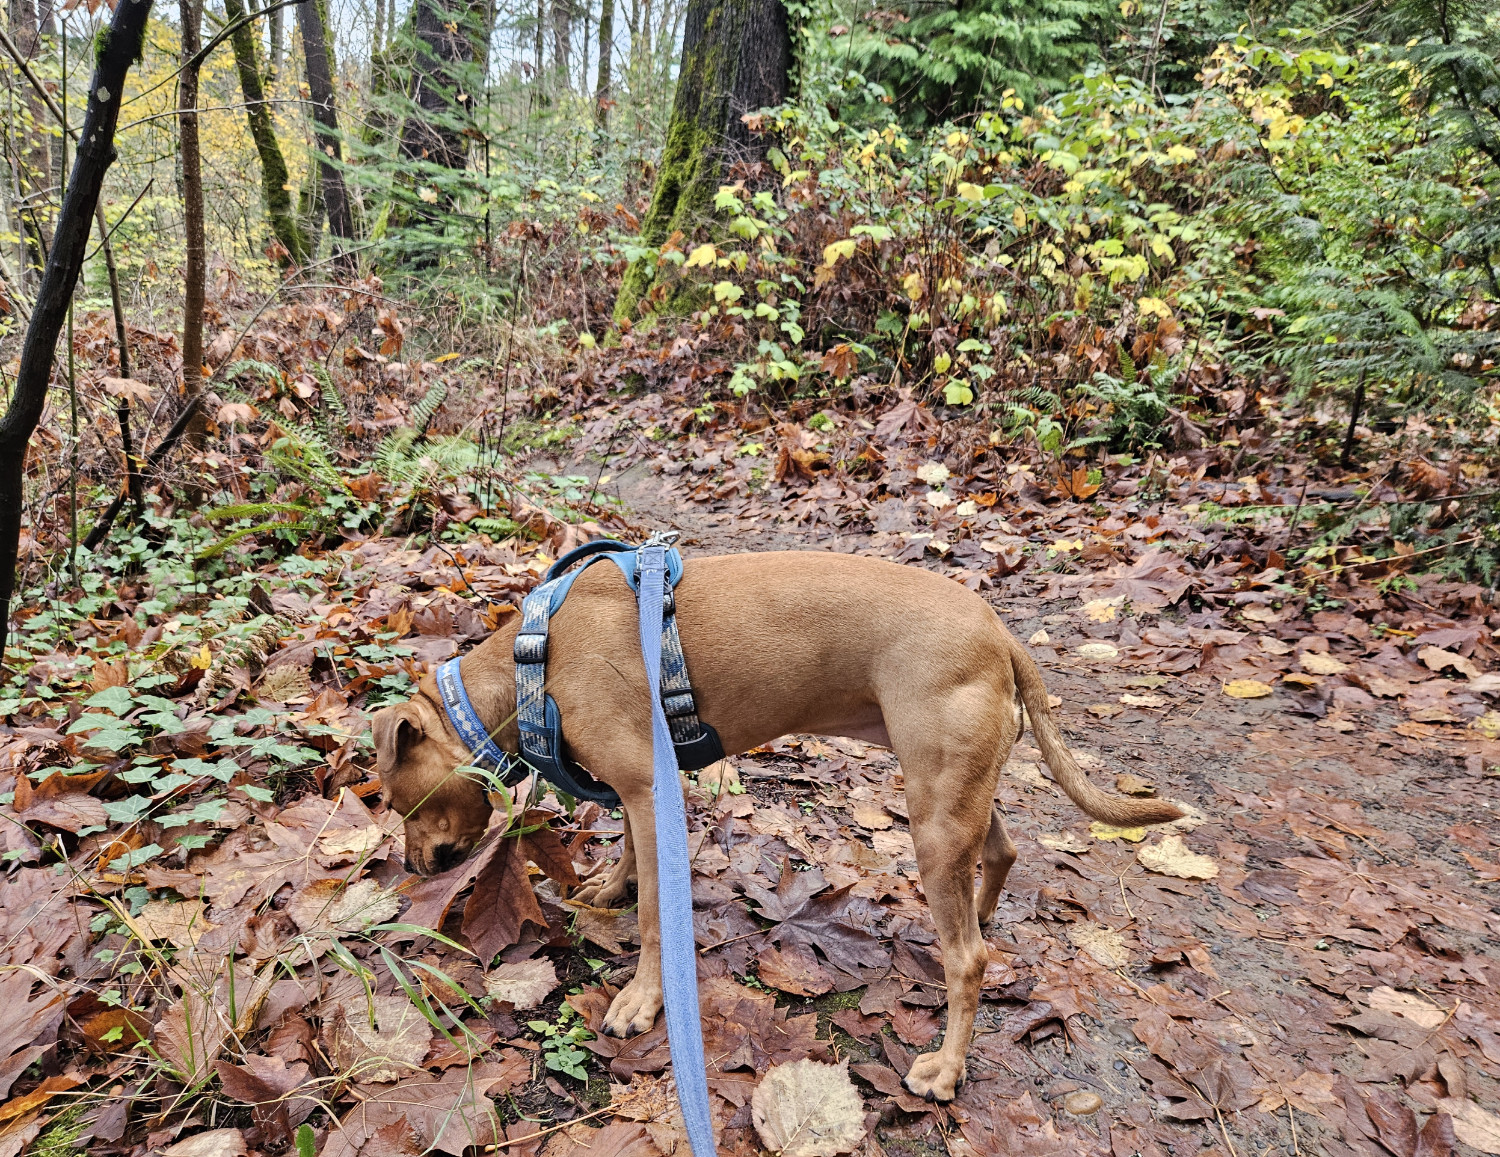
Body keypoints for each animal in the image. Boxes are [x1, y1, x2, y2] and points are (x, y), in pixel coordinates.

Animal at [369, 552, 1176, 1104]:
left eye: (399, 802)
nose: (412, 870)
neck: (532, 661)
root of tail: (1000, 633)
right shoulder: (639, 792)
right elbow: (629, 853)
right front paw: (610, 885)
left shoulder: (650, 788)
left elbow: (658, 918)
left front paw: (641, 999)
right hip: (950, 793)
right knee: (999, 855)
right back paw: (978, 915)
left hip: (935, 818)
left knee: (969, 960)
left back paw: (947, 1067)